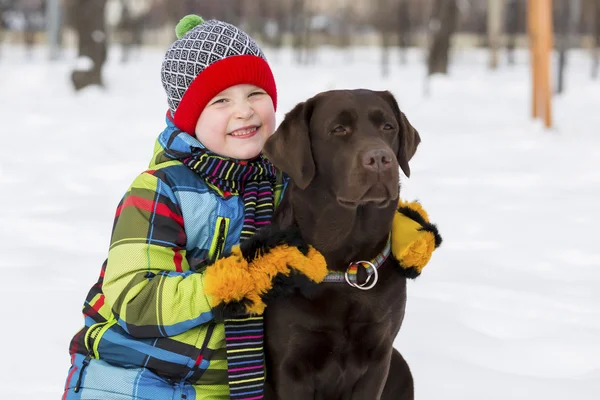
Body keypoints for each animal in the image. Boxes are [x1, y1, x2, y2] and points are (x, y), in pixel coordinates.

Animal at [260, 90, 420, 400]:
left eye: (388, 127)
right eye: (339, 129)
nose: (380, 158)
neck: (345, 267)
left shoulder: (379, 354)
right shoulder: (290, 363)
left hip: (400, 364)